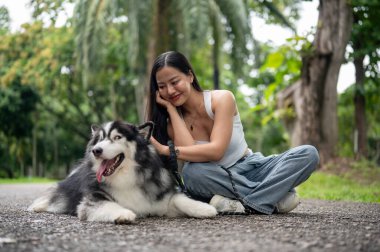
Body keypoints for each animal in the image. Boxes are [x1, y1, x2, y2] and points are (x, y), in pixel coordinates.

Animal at [27, 121, 215, 223]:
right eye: (100, 139)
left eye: (117, 137)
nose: (96, 150)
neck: (126, 178)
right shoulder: (92, 200)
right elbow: (109, 204)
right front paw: (124, 213)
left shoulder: (160, 199)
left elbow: (179, 199)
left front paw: (205, 208)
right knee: (55, 196)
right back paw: (37, 206)